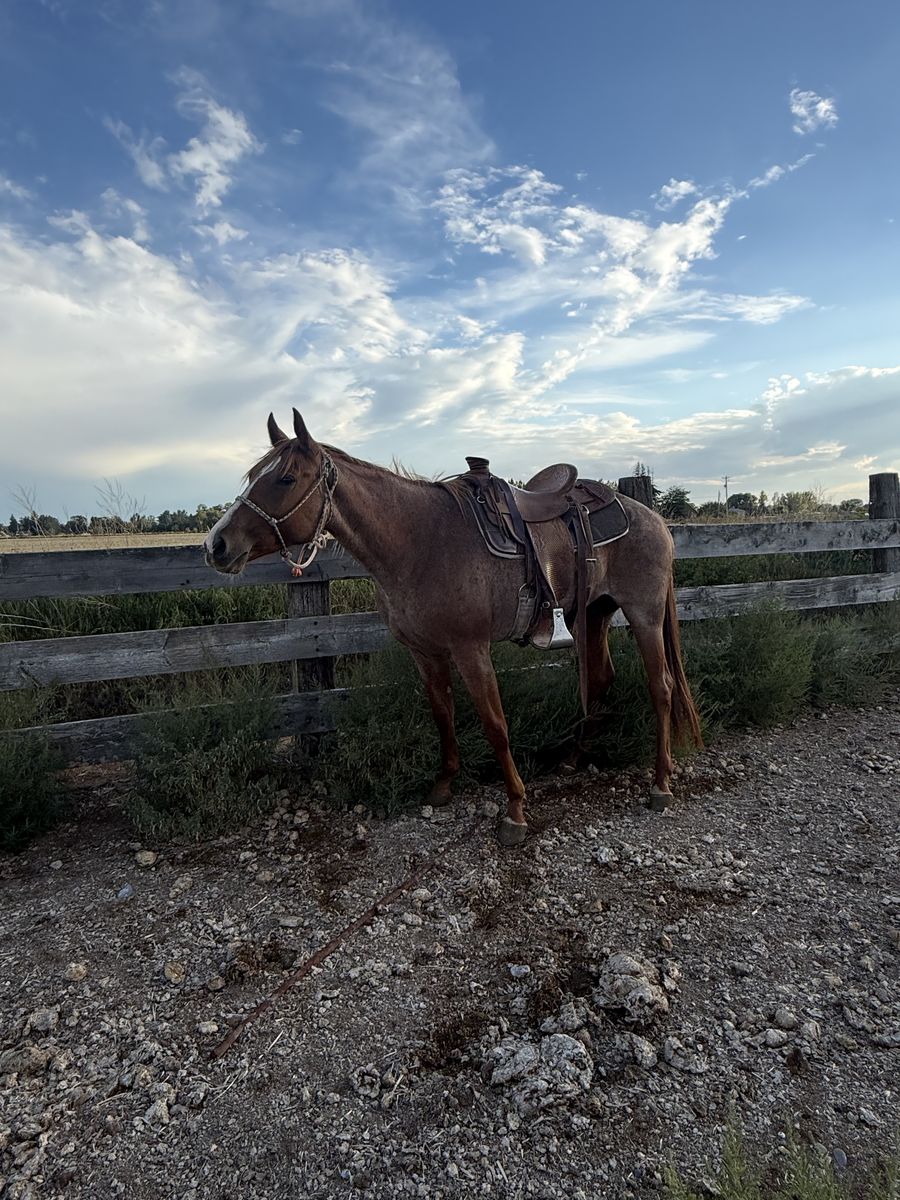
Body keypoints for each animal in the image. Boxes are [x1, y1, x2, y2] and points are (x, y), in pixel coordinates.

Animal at [204, 409, 703, 846]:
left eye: (285, 478)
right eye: (254, 476)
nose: (216, 545)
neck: (420, 542)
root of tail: (653, 518)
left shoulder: (471, 649)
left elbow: (494, 725)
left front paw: (515, 810)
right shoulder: (425, 652)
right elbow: (443, 714)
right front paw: (443, 786)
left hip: (643, 614)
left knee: (661, 686)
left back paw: (660, 783)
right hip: (593, 614)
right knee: (599, 681)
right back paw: (574, 758)